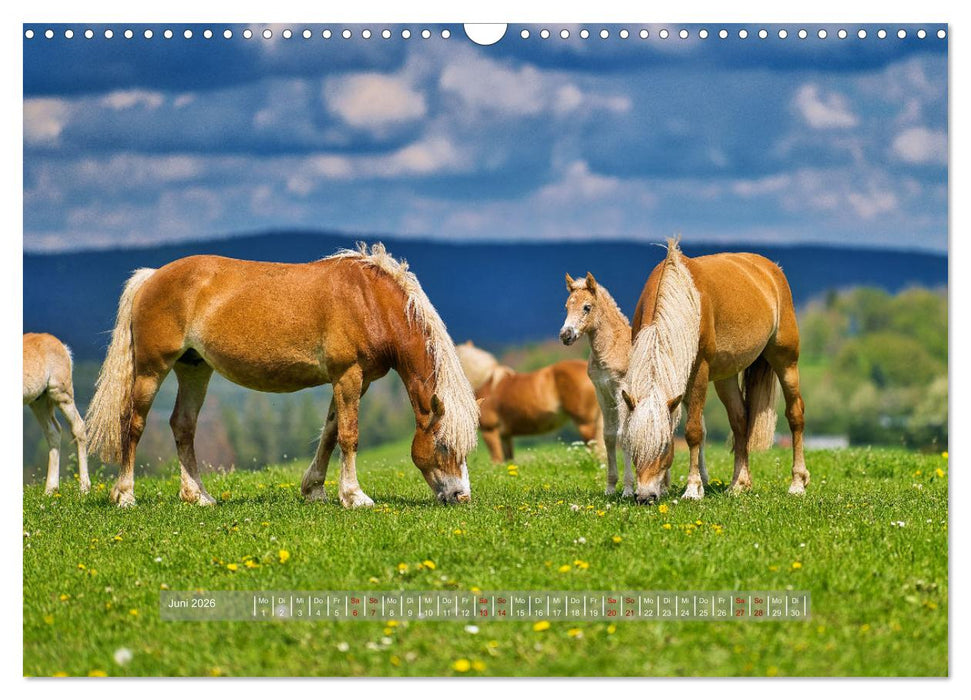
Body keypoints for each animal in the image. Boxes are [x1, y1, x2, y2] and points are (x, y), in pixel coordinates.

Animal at [23, 333, 90, 494]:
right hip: (38, 401)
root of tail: (62, 346)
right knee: (53, 431)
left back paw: (84, 488)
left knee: (78, 427)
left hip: (60, 393)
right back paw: (50, 490)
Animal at [85, 243, 479, 508]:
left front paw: (315, 489)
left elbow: (331, 433)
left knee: (183, 425)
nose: (461, 496)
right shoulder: (348, 376)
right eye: (444, 446)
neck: (370, 300)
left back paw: (197, 495)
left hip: (194, 369)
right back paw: (125, 495)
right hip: (152, 370)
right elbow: (349, 436)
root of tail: (151, 276)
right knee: (132, 423)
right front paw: (354, 496)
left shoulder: (356, 381)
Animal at [455, 341, 605, 464]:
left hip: (585, 424)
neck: (485, 382)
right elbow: (508, 460)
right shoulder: (505, 436)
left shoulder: (490, 431)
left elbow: (496, 460)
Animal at [561, 271, 708, 498]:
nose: (566, 335)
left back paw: (700, 483)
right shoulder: (602, 393)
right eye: (567, 306)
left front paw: (628, 489)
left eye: (587, 307)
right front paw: (610, 487)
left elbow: (624, 436)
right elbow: (609, 436)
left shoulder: (623, 393)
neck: (611, 348)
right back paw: (670, 485)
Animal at [621, 239, 809, 504]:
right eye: (634, 444)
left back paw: (797, 484)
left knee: (795, 415)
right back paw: (739, 484)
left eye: (666, 446)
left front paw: (692, 489)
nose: (645, 496)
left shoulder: (700, 371)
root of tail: (771, 270)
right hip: (726, 377)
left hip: (786, 361)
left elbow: (693, 431)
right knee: (740, 420)